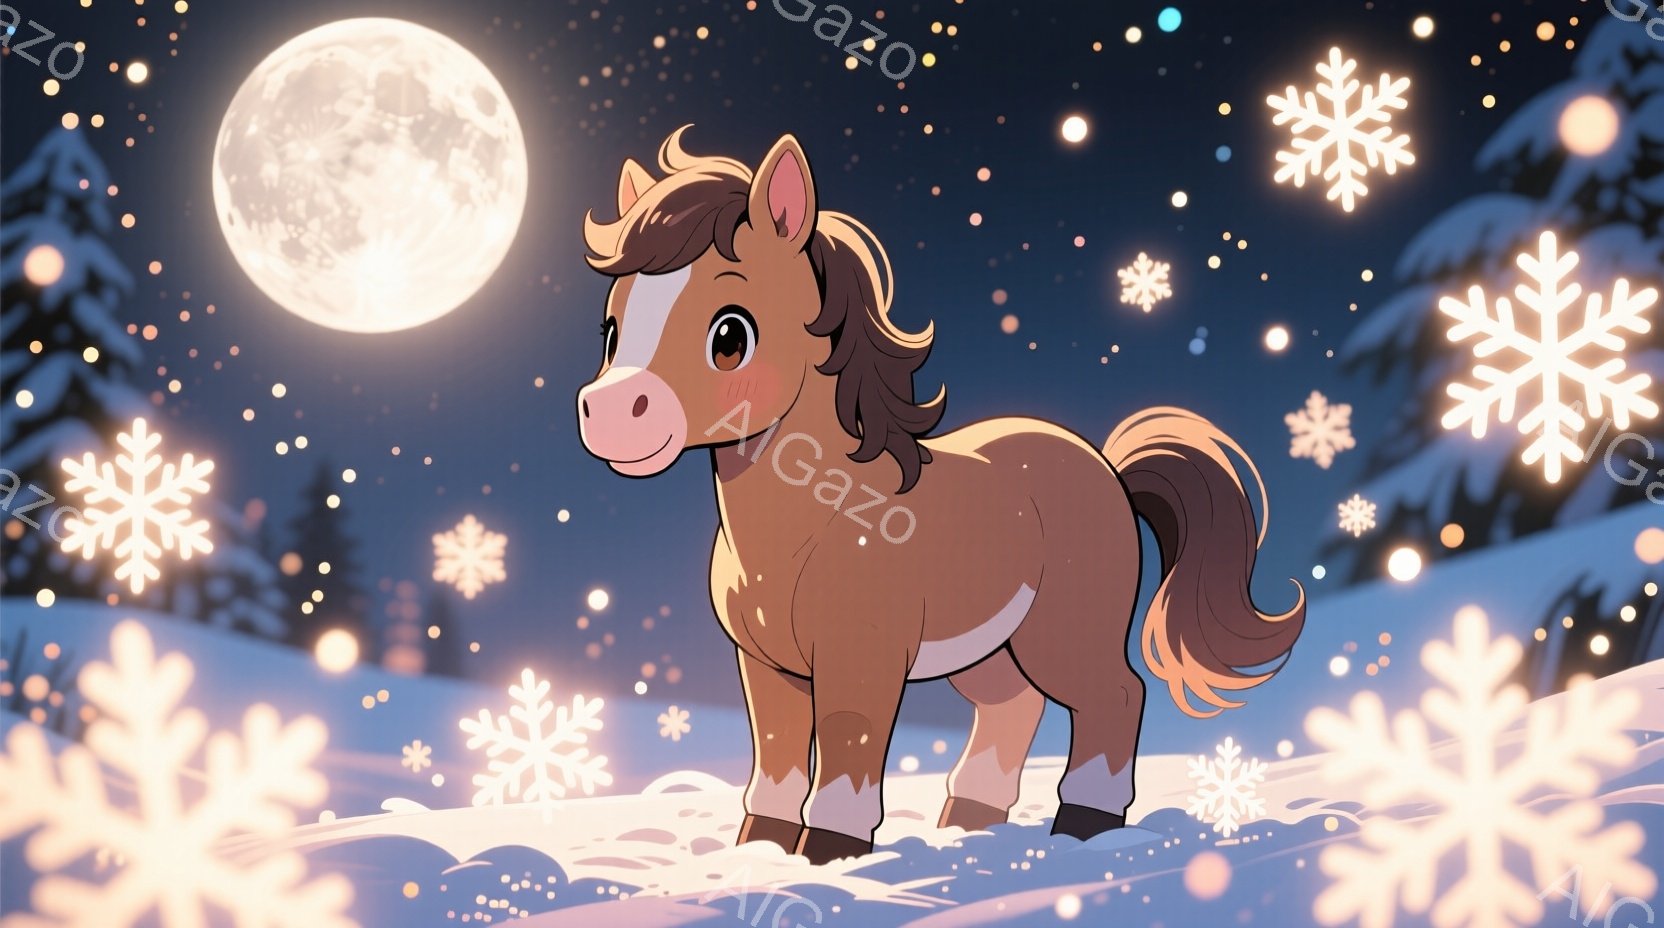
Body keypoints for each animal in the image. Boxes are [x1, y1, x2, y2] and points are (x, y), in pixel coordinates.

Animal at [576, 127, 1306, 864]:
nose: (610, 414)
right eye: (610, 331)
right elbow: (777, 761)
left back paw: (1081, 830)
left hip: (1064, 637)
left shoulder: (861, 663)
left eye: (731, 334)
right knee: (1012, 708)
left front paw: (831, 854)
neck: (818, 516)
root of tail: (1106, 468)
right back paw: (969, 827)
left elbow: (848, 750)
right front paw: (759, 853)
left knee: (1116, 698)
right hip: (988, 650)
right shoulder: (764, 668)